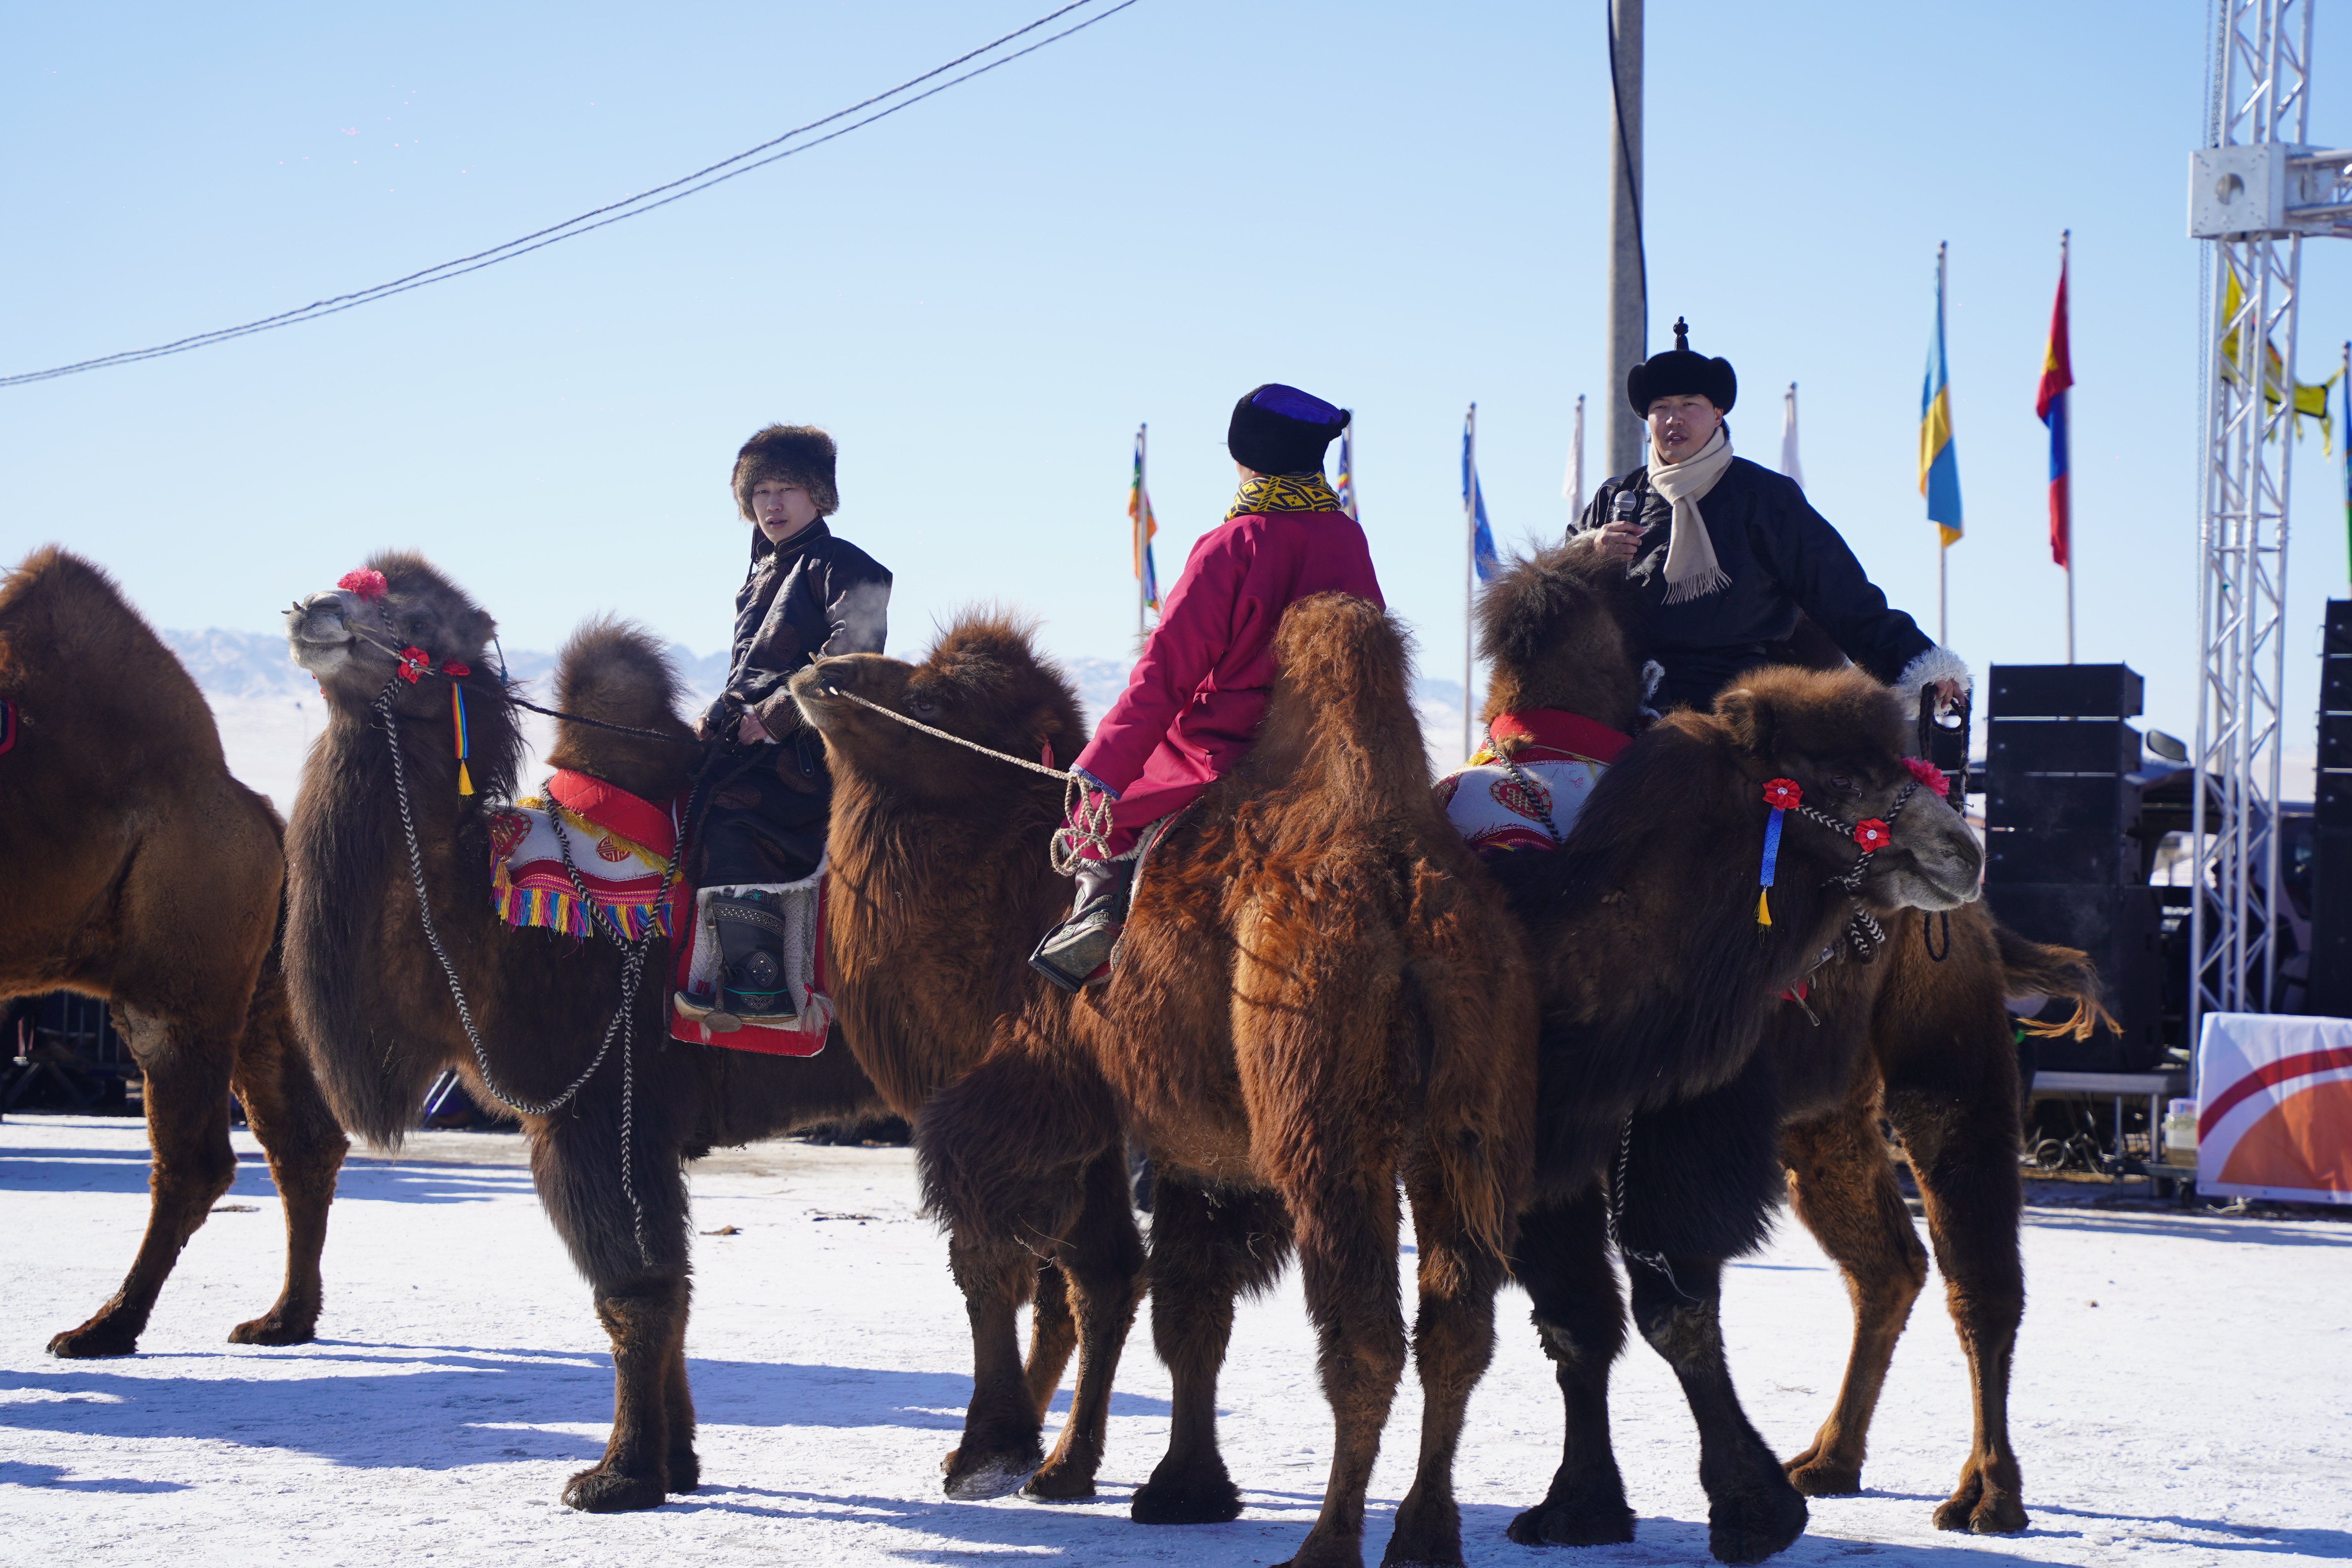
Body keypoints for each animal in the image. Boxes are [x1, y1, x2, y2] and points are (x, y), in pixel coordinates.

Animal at [0, 546, 347, 1358]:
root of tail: (259, 813)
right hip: (256, 990)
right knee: (301, 1139)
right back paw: (283, 1320)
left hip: (182, 975)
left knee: (196, 1161)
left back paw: (105, 1328)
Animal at [281, 553, 894, 1512]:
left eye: (415, 616)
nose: (317, 610)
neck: (491, 912)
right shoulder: (631, 1123)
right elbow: (673, 1288)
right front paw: (676, 1465)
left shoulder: (595, 1109)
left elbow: (633, 1291)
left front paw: (618, 1476)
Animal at [799, 595, 1537, 1568]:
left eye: (936, 696)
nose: (820, 669)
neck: (1012, 892)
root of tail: (1405, 892)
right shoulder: (1192, 1144)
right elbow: (1166, 1296)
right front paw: (1157, 1483)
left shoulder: (1031, 1088)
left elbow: (995, 1257)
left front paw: (990, 1452)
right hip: (1466, 1128)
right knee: (1458, 1327)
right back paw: (1423, 1534)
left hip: (1324, 1122)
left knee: (1366, 1336)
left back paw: (1328, 1541)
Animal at [1466, 543, 2106, 1559]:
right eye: (1833, 776)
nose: (1959, 848)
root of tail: (1981, 922)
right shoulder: (1538, 1129)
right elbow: (1574, 1322)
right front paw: (1578, 1506)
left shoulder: (1681, 1121)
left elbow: (1673, 1311)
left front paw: (1750, 1510)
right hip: (1824, 1120)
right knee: (1888, 1266)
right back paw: (1832, 1458)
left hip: (1947, 1060)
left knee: (1978, 1276)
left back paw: (1989, 1495)